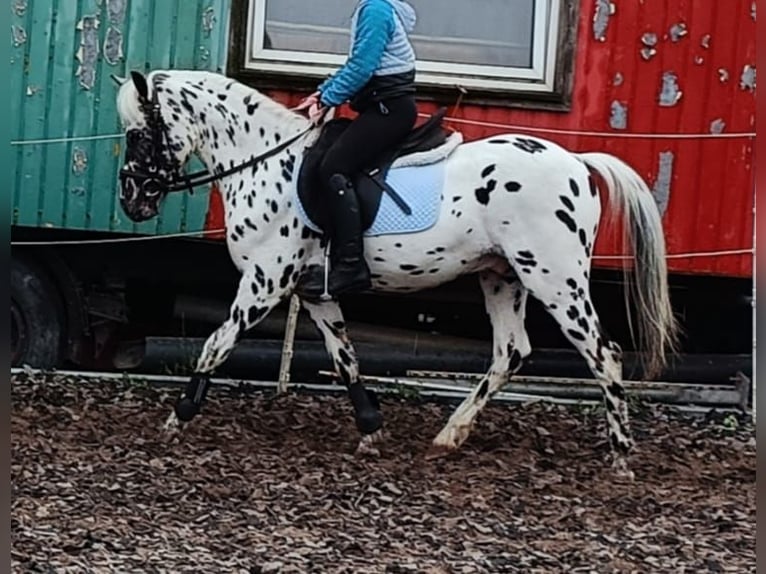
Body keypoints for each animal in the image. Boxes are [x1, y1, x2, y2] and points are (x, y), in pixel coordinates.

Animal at [115, 71, 684, 476]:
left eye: (140, 133)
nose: (132, 199)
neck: (264, 162)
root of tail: (577, 164)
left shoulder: (264, 281)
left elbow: (215, 344)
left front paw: (177, 418)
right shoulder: (314, 292)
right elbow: (344, 358)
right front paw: (371, 430)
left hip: (554, 277)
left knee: (603, 354)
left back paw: (621, 456)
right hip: (504, 276)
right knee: (510, 352)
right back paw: (448, 437)